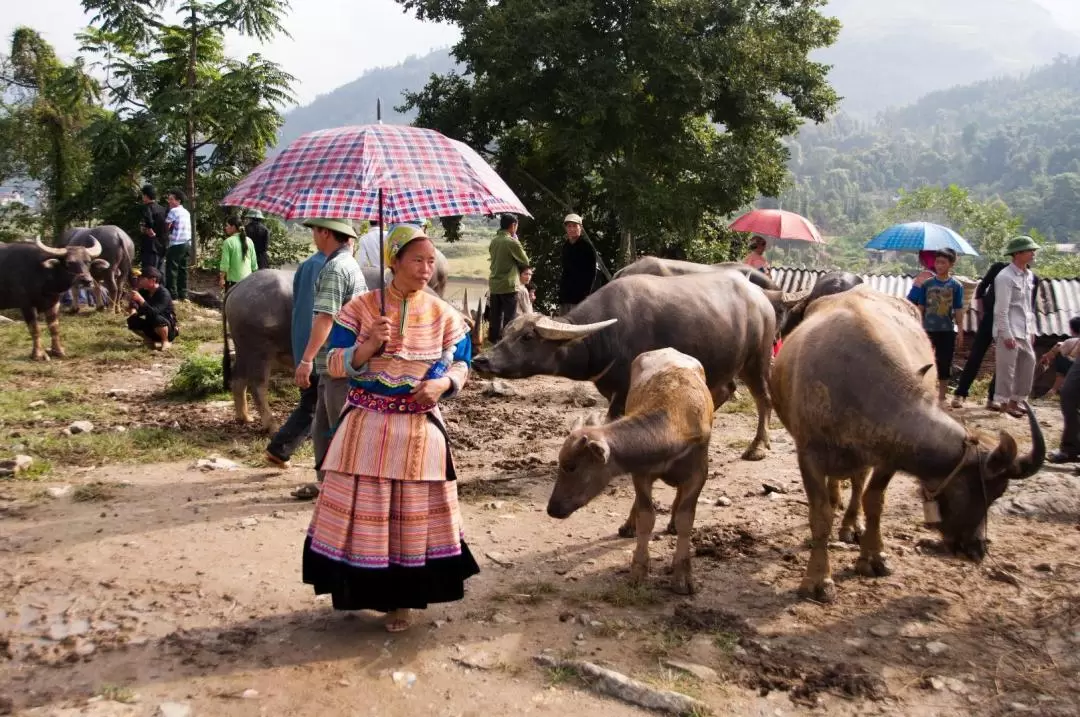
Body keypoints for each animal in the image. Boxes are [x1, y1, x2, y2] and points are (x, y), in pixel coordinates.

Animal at [548, 347, 717, 591]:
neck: (675, 425)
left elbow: (687, 521)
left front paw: (683, 577)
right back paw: (629, 526)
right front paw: (638, 571)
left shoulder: (698, 474)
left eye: (570, 466)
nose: (552, 508)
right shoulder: (641, 473)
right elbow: (647, 517)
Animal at [773, 285, 1041, 604]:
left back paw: (851, 524)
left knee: (858, 483)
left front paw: (873, 557)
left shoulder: (887, 456)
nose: (976, 549)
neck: (859, 388)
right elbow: (821, 515)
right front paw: (817, 580)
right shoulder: (808, 455)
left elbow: (874, 502)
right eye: (993, 491)